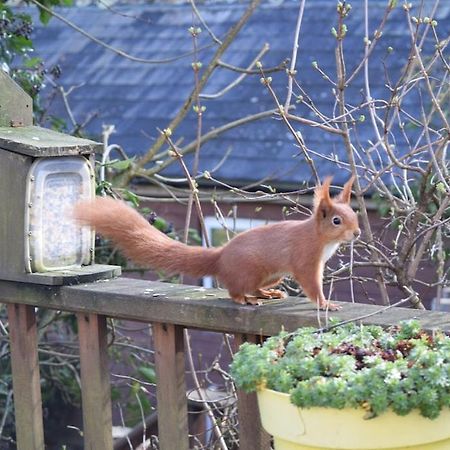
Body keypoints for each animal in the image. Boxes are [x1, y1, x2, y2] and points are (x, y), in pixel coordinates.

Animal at [75, 178, 360, 312]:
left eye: (354, 215)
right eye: (336, 220)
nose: (357, 233)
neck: (320, 239)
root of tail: (220, 257)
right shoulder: (305, 259)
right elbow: (311, 284)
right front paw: (325, 304)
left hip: (272, 275)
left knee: (254, 287)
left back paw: (267, 294)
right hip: (249, 270)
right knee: (235, 291)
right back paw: (246, 300)